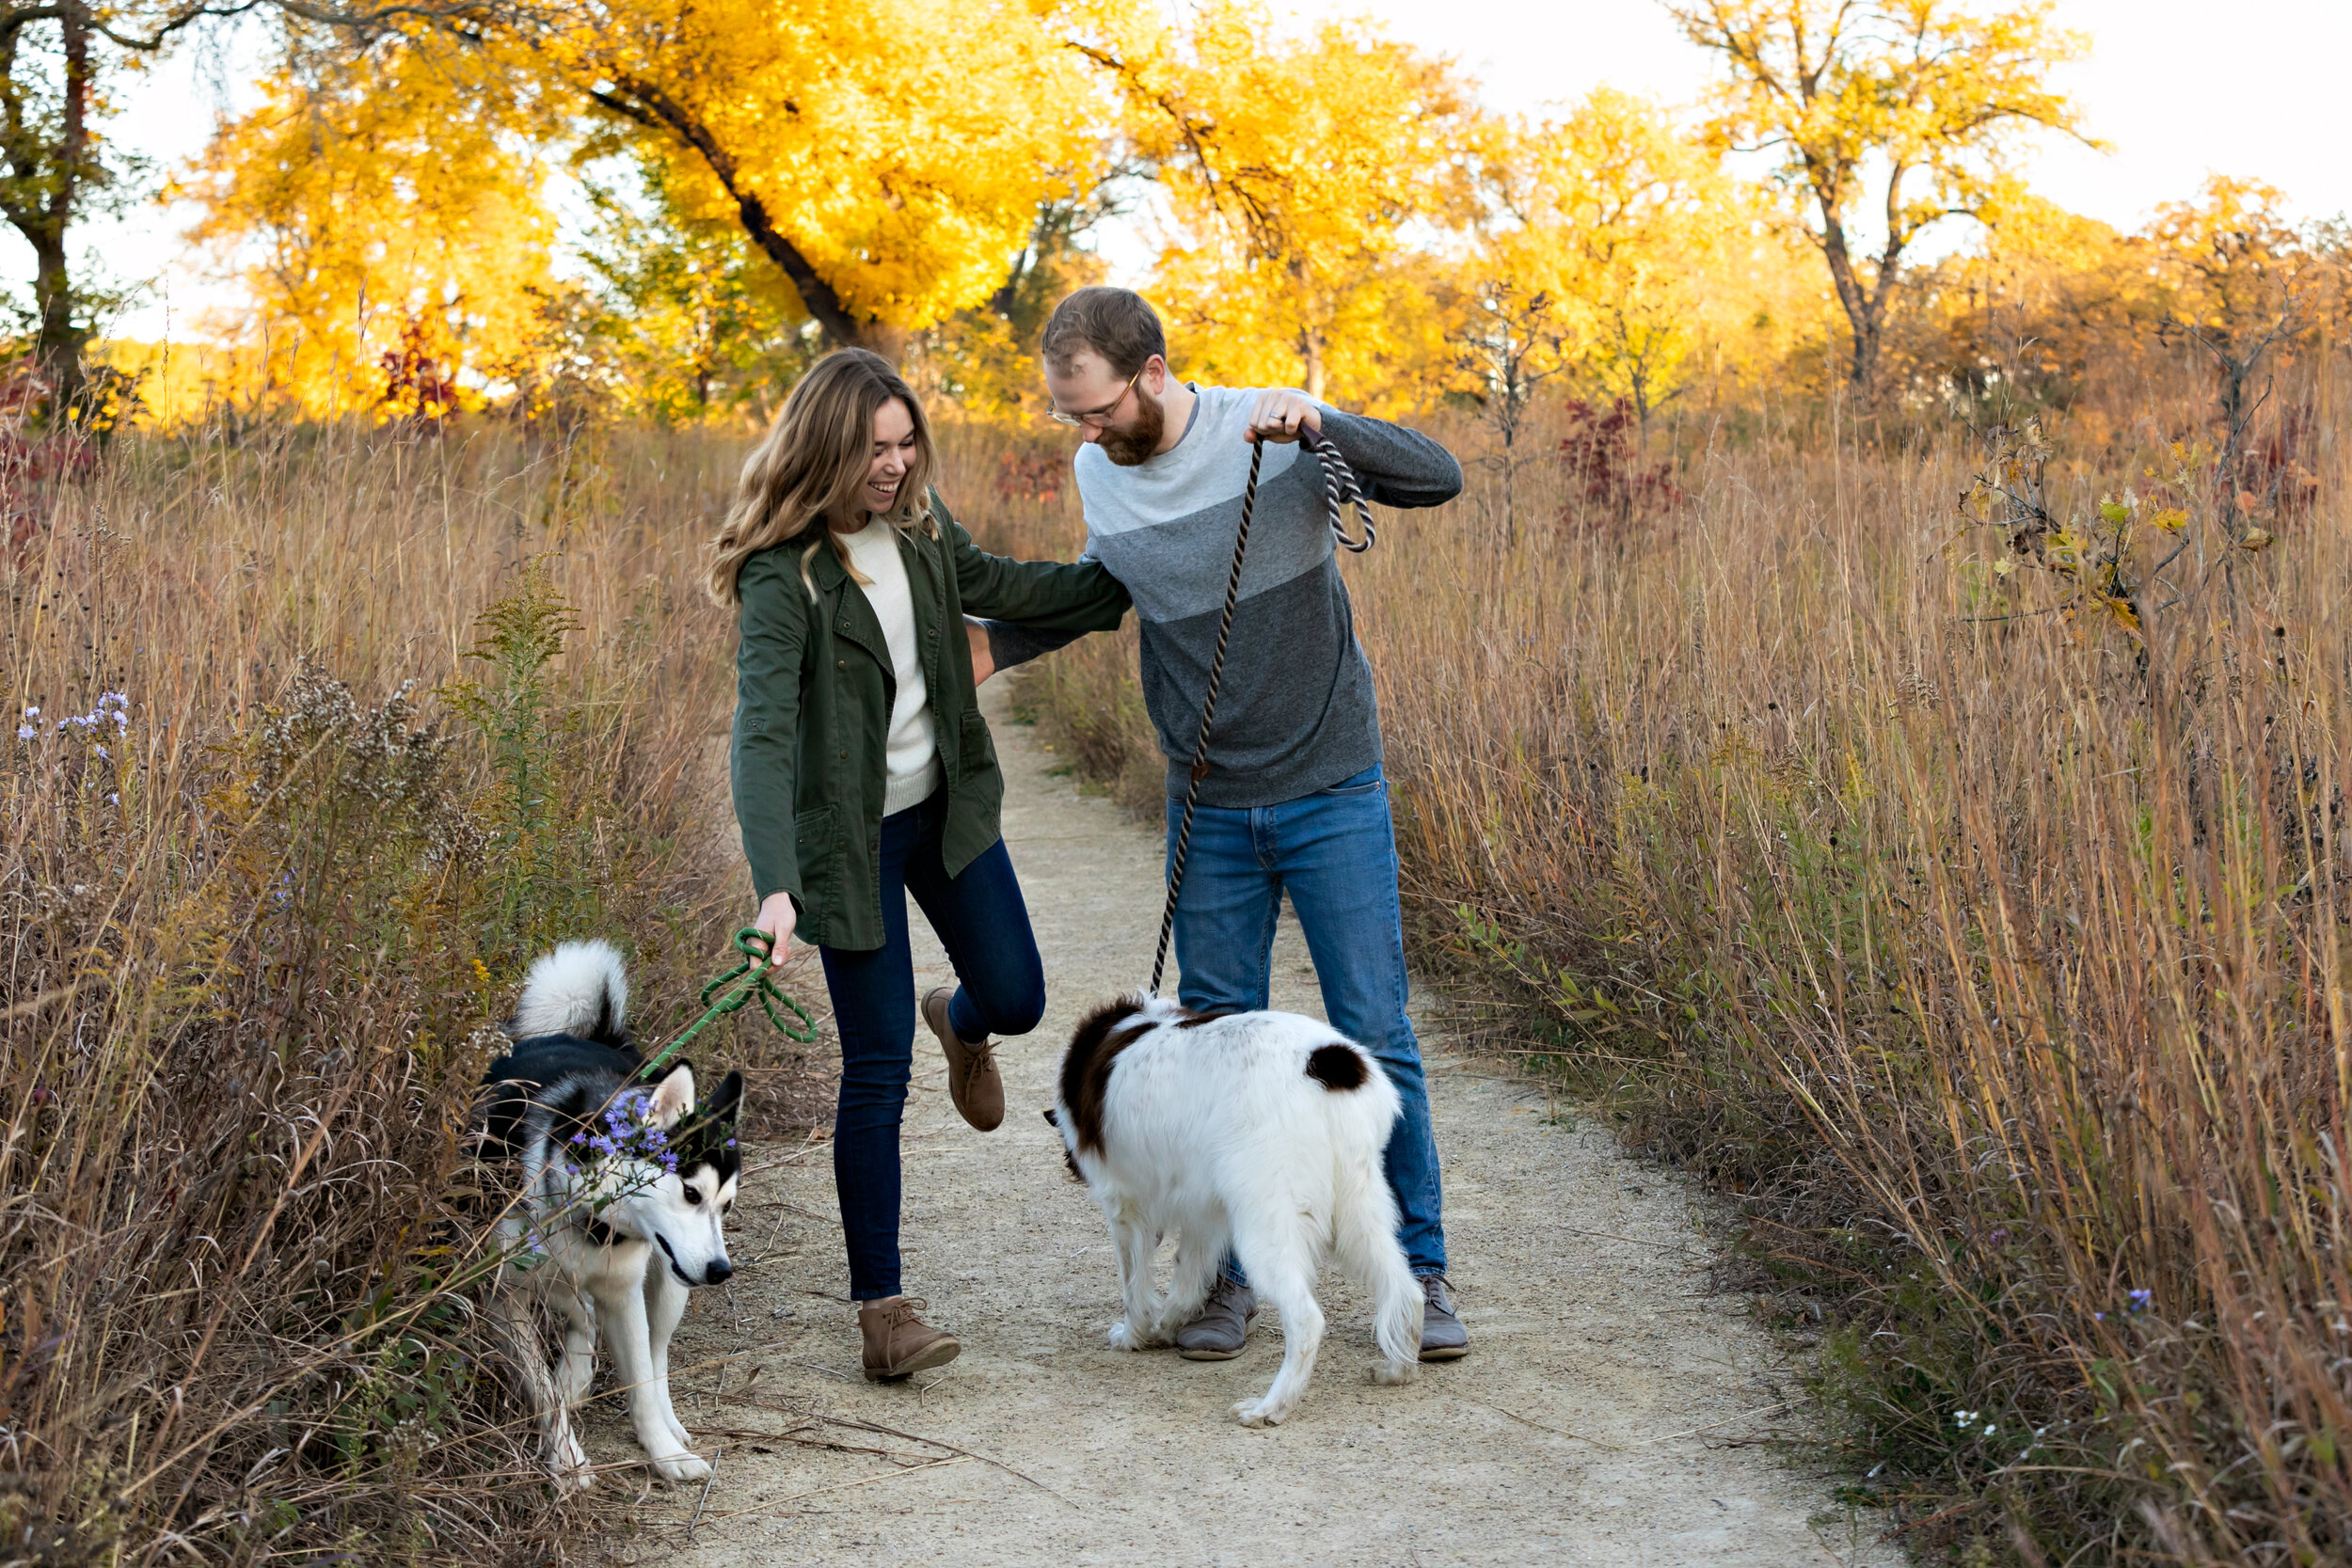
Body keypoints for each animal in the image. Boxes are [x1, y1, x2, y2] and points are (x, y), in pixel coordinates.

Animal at [1058, 1001, 1421, 1429]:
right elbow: (1186, 1277)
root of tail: (1329, 1063)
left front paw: (1134, 1336)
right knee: (1407, 1289)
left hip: (1265, 1225)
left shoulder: (1125, 1206)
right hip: (1358, 1211)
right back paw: (1397, 1369)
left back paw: (1270, 1408)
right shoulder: (1202, 1212)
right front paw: (1167, 1328)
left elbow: (1134, 1287)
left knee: (1306, 1321)